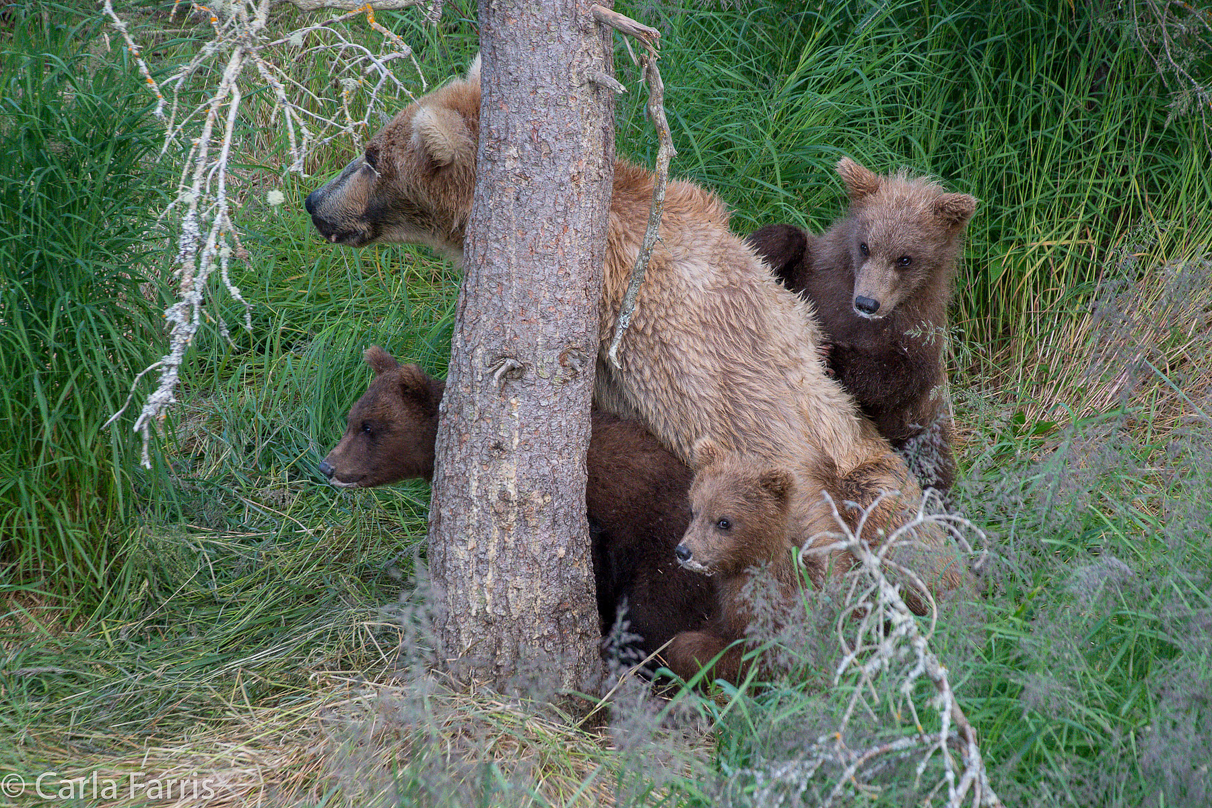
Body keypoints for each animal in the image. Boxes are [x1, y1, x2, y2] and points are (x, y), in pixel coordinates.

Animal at [322, 344, 717, 668]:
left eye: (369, 427)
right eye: (351, 420)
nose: (329, 466)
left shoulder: (604, 514)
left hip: (667, 551)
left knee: (655, 614)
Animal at [741, 155, 979, 489]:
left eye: (905, 258)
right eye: (865, 246)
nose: (867, 303)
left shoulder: (917, 335)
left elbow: (897, 377)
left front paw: (832, 356)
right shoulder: (821, 279)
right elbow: (784, 240)